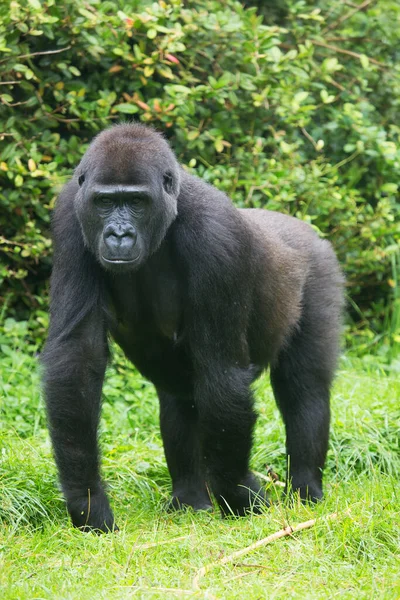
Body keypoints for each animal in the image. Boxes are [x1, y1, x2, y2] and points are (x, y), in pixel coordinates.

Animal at [43, 122, 344, 528]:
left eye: (136, 202)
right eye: (104, 202)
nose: (118, 234)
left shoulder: (216, 236)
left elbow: (222, 373)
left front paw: (238, 492)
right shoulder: (70, 218)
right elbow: (77, 356)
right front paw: (87, 501)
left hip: (321, 269)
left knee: (304, 390)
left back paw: (305, 489)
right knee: (180, 397)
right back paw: (190, 498)